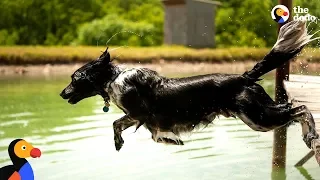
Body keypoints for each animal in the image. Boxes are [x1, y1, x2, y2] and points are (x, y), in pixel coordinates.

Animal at [60, 20, 320, 158]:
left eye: (75, 78)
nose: (62, 93)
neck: (115, 78)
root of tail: (244, 77)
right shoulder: (144, 118)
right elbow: (153, 134)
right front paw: (170, 140)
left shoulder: (139, 113)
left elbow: (116, 123)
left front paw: (118, 142)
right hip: (260, 114)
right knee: (293, 109)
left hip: (258, 117)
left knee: (301, 109)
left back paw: (311, 133)